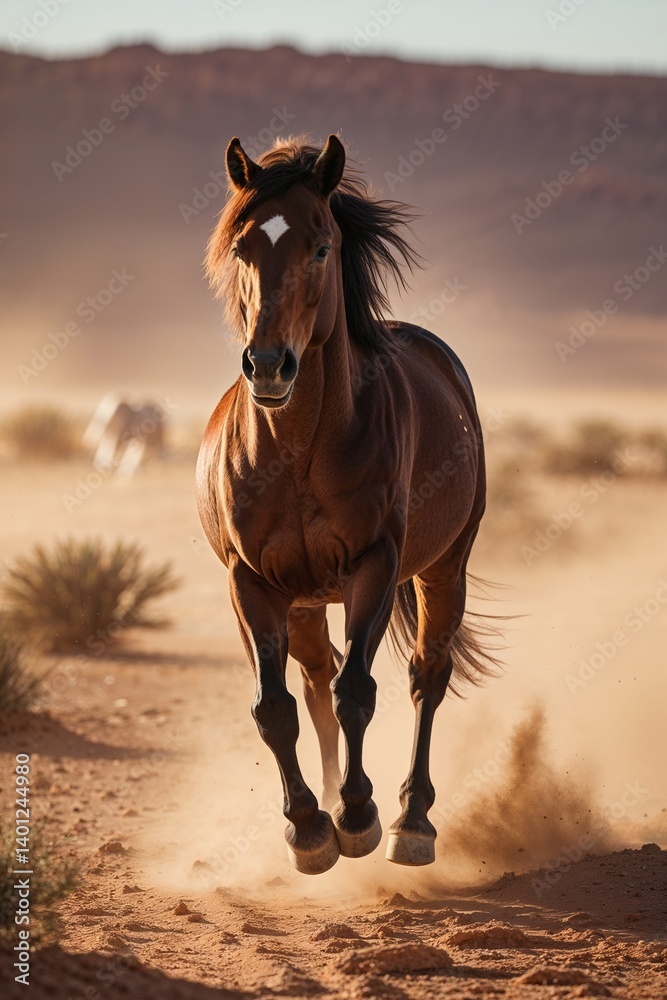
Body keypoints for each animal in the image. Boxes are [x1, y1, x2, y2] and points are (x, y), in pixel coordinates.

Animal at [196, 134, 498, 875]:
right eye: (242, 247)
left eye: (320, 247)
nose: (268, 364)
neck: (298, 453)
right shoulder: (250, 582)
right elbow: (276, 706)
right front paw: (309, 827)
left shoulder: (374, 565)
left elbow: (357, 690)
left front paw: (357, 816)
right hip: (304, 601)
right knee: (314, 681)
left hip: (443, 568)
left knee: (425, 676)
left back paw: (412, 821)